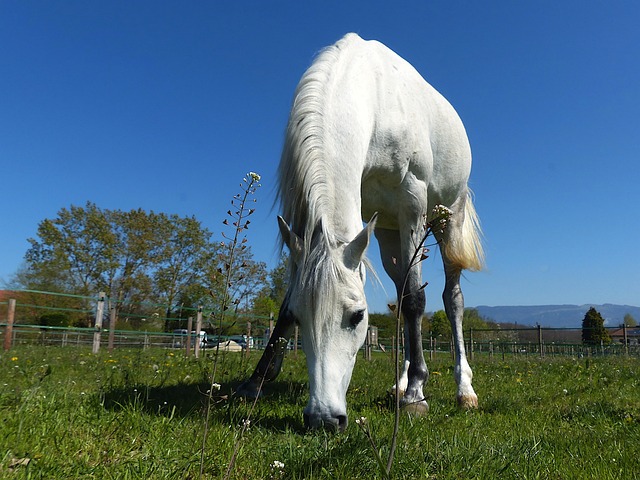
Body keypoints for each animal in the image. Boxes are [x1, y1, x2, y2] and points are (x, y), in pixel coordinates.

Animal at [238, 33, 482, 432]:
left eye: (357, 316)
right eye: (299, 317)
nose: (324, 418)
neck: (375, 102)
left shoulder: (412, 202)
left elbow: (417, 301)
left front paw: (417, 395)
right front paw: (256, 380)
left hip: (446, 219)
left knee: (451, 300)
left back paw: (461, 389)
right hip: (388, 236)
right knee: (401, 293)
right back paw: (401, 383)